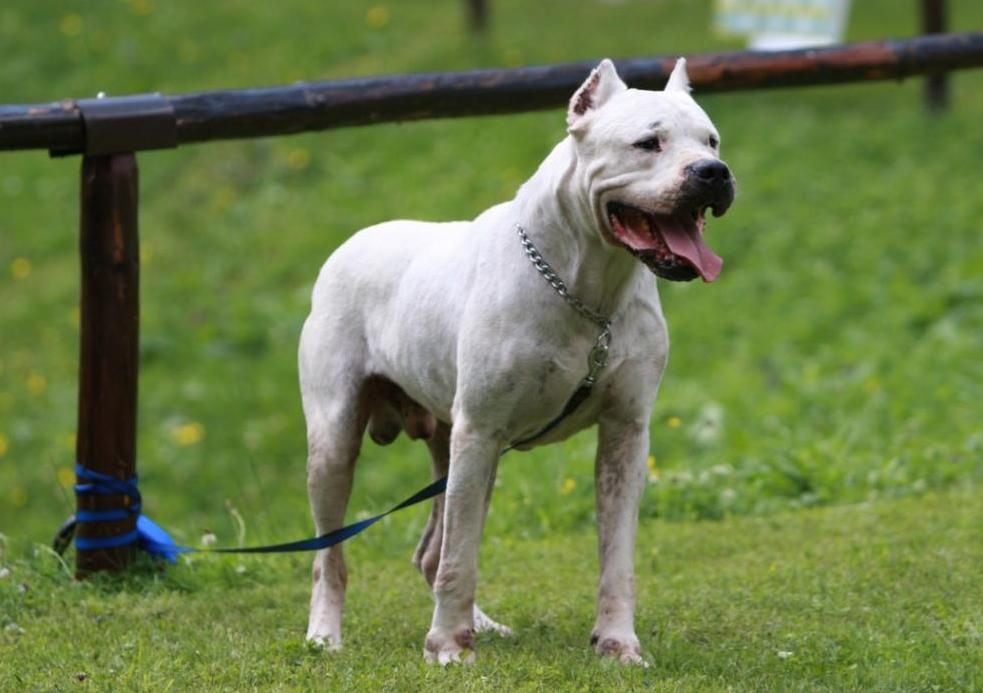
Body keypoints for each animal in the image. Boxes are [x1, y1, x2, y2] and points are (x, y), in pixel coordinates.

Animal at [304, 59, 736, 664]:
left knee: (432, 551)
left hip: (454, 447)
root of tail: (349, 244)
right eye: (649, 143)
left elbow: (617, 558)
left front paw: (618, 643)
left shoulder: (625, 434)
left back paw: (482, 625)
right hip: (337, 444)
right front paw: (447, 648)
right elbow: (461, 557)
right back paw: (326, 634)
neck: (587, 288)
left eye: (711, 140)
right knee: (334, 554)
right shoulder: (480, 431)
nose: (714, 173)